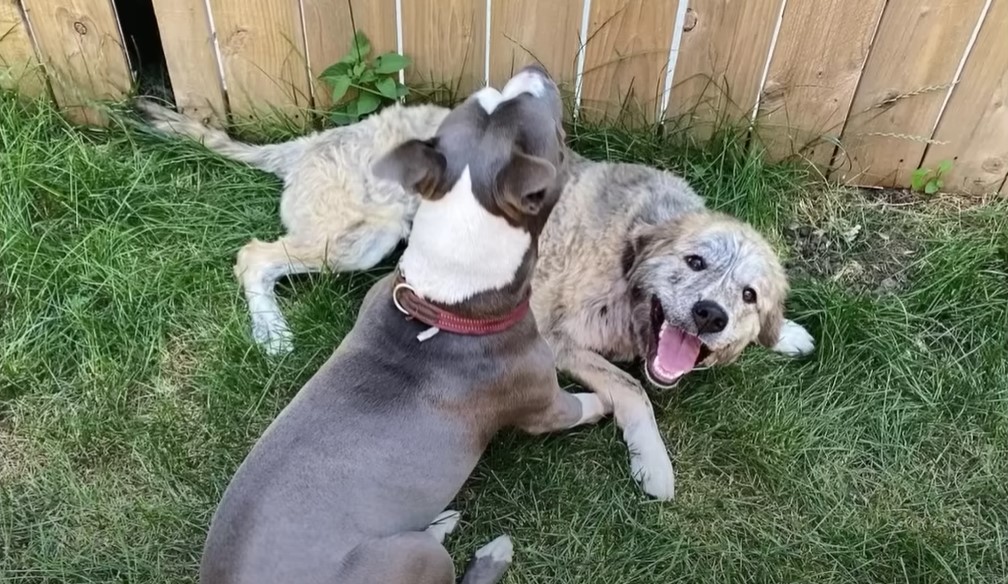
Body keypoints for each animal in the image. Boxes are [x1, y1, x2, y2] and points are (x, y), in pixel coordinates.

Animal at [196, 66, 604, 580]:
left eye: (489, 97)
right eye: (551, 133)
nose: (534, 69)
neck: (442, 302)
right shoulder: (544, 403)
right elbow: (584, 405)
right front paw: (611, 402)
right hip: (412, 555)